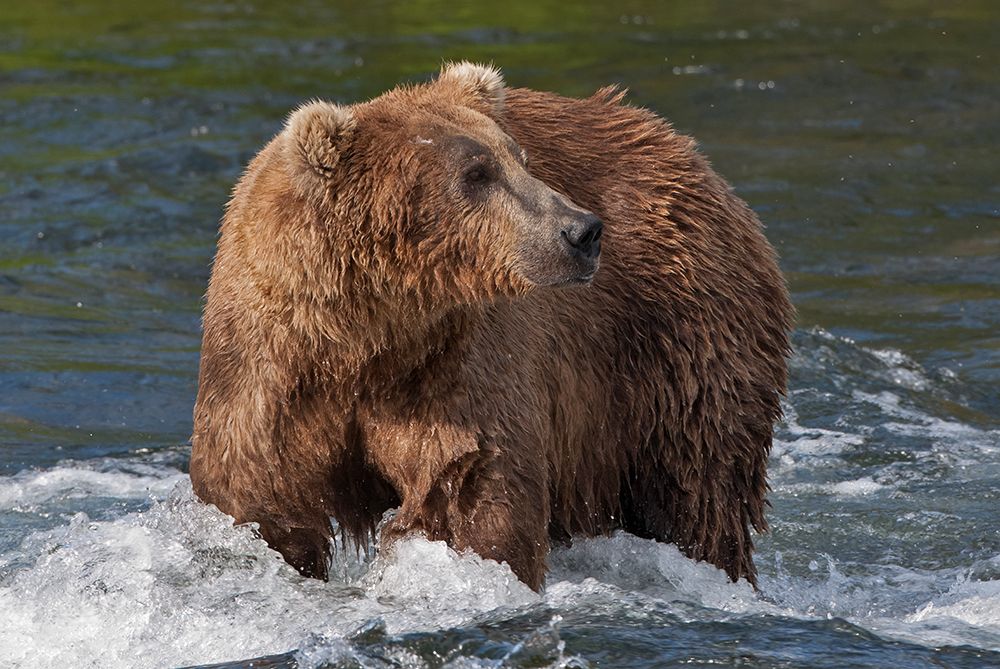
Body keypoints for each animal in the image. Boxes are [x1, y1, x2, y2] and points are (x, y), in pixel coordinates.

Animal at [189, 62, 793, 591]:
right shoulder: (268, 366)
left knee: (699, 488)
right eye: (476, 174)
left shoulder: (457, 362)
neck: (371, 335)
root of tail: (684, 152)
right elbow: (260, 499)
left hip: (678, 340)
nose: (583, 230)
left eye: (519, 158)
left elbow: (471, 489)